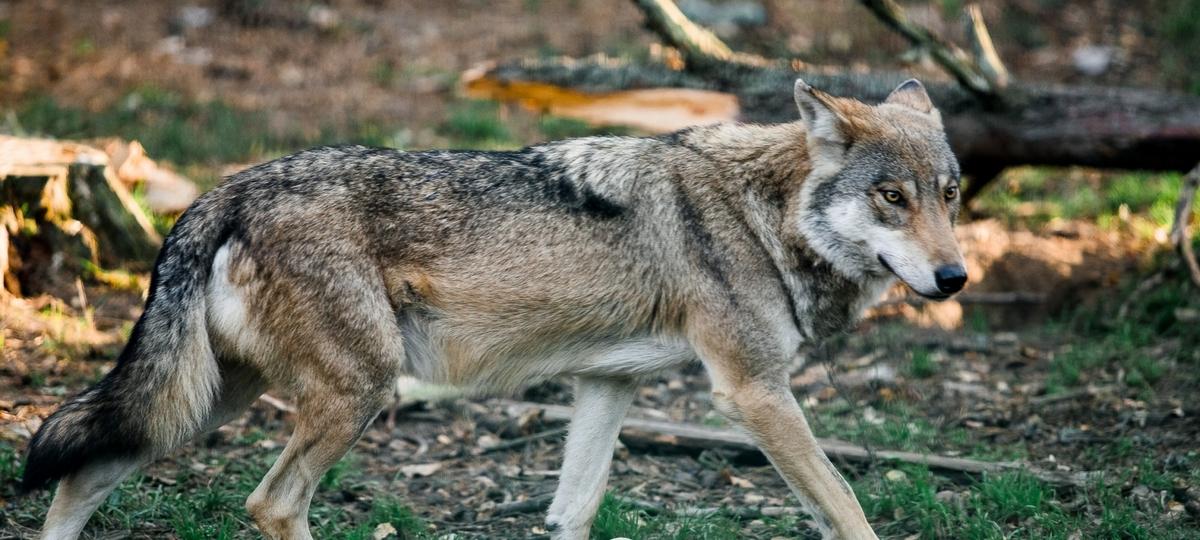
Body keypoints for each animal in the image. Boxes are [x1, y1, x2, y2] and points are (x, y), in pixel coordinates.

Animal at [22, 78, 966, 540]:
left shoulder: (606, 387)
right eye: (890, 197)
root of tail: (224, 190)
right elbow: (848, 509)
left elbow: (572, 514)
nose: (955, 277)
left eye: (950, 195)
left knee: (81, 476)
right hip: (354, 394)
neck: (761, 215)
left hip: (206, 400)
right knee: (272, 504)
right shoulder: (753, 392)